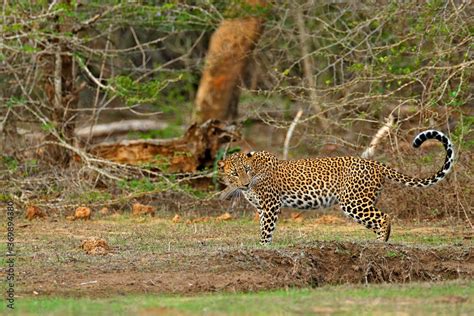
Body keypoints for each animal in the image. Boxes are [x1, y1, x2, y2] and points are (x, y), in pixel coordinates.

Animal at [218, 130, 456, 246]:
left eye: (246, 170)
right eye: (235, 173)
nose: (245, 183)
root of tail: (375, 163)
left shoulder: (270, 206)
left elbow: (266, 230)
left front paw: (263, 246)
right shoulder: (262, 208)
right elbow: (262, 227)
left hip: (353, 202)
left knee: (384, 217)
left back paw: (380, 245)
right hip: (364, 200)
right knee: (378, 219)